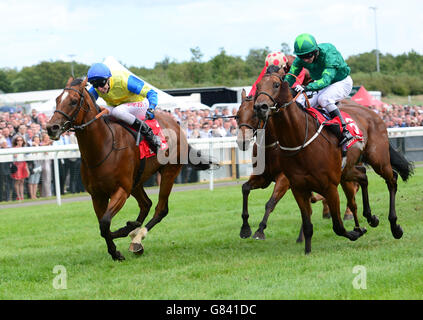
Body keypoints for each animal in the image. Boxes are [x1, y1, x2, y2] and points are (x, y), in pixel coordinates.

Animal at [47, 77, 215, 260]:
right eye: (57, 99)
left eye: (73, 101)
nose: (51, 127)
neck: (103, 147)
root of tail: (176, 123)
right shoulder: (97, 195)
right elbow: (103, 225)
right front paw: (116, 249)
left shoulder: (121, 190)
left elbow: (105, 224)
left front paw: (122, 239)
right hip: (136, 181)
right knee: (146, 204)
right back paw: (134, 231)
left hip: (168, 172)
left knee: (160, 209)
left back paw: (137, 238)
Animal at [237, 89, 360, 241]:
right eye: (237, 116)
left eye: (254, 114)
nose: (242, 141)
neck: (271, 146)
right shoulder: (264, 177)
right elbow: (245, 188)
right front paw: (245, 228)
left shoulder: (284, 178)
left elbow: (270, 203)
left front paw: (260, 230)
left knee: (353, 188)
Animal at [252, 69, 414, 254]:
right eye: (258, 86)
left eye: (276, 85)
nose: (260, 107)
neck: (299, 139)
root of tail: (373, 113)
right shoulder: (298, 188)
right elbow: (308, 225)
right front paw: (307, 252)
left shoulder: (329, 187)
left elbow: (338, 226)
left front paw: (356, 232)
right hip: (347, 169)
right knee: (364, 176)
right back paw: (370, 217)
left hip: (378, 159)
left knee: (392, 179)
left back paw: (395, 226)